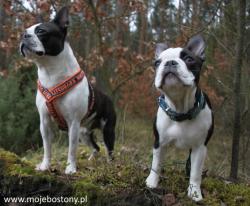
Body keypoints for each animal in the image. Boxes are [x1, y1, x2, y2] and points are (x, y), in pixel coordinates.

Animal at [19, 6, 116, 174]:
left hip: (107, 130)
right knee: (96, 148)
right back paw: (91, 161)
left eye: (41, 31)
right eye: (26, 30)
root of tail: (108, 98)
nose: (24, 35)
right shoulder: (44, 122)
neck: (50, 72)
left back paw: (110, 166)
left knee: (109, 151)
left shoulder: (73, 123)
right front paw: (45, 165)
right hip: (84, 132)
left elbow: (71, 148)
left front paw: (70, 168)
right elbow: (47, 147)